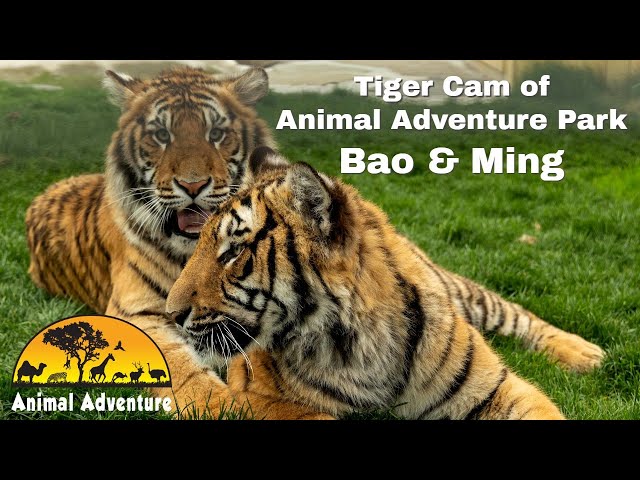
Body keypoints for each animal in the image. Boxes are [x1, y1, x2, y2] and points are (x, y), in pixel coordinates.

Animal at [165, 147, 569, 419]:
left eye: (233, 251)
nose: (171, 314)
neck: (357, 344)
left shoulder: (494, 387)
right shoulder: (253, 396)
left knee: (513, 311)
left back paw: (581, 355)